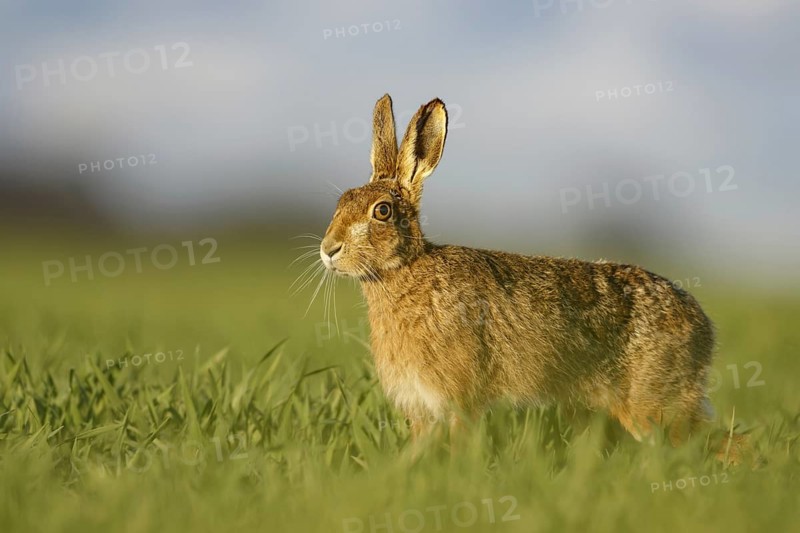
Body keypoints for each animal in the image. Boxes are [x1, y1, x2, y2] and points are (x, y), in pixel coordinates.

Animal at [320, 94, 715, 445]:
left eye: (382, 211)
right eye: (341, 202)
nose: (329, 250)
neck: (407, 269)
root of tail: (703, 325)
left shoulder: (460, 399)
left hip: (654, 402)